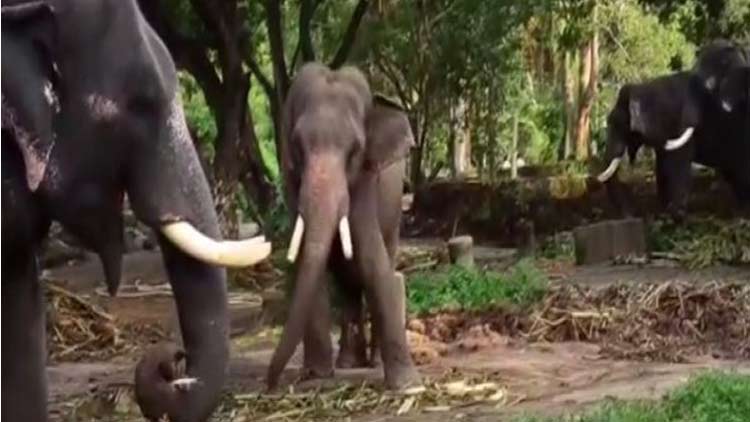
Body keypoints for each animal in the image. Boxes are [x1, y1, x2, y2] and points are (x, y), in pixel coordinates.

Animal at [266, 62, 420, 391]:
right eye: (297, 146)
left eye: (355, 150)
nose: (270, 385)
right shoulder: (291, 183)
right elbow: (309, 263)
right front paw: (316, 374)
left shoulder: (365, 181)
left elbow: (373, 259)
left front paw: (408, 385)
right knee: (347, 281)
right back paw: (349, 362)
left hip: (395, 210)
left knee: (382, 261)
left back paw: (371, 362)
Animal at [597, 39, 750, 216]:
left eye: (618, 124)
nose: (630, 213)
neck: (646, 86)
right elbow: (662, 164)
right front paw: (664, 210)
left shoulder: (675, 126)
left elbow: (677, 164)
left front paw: (675, 213)